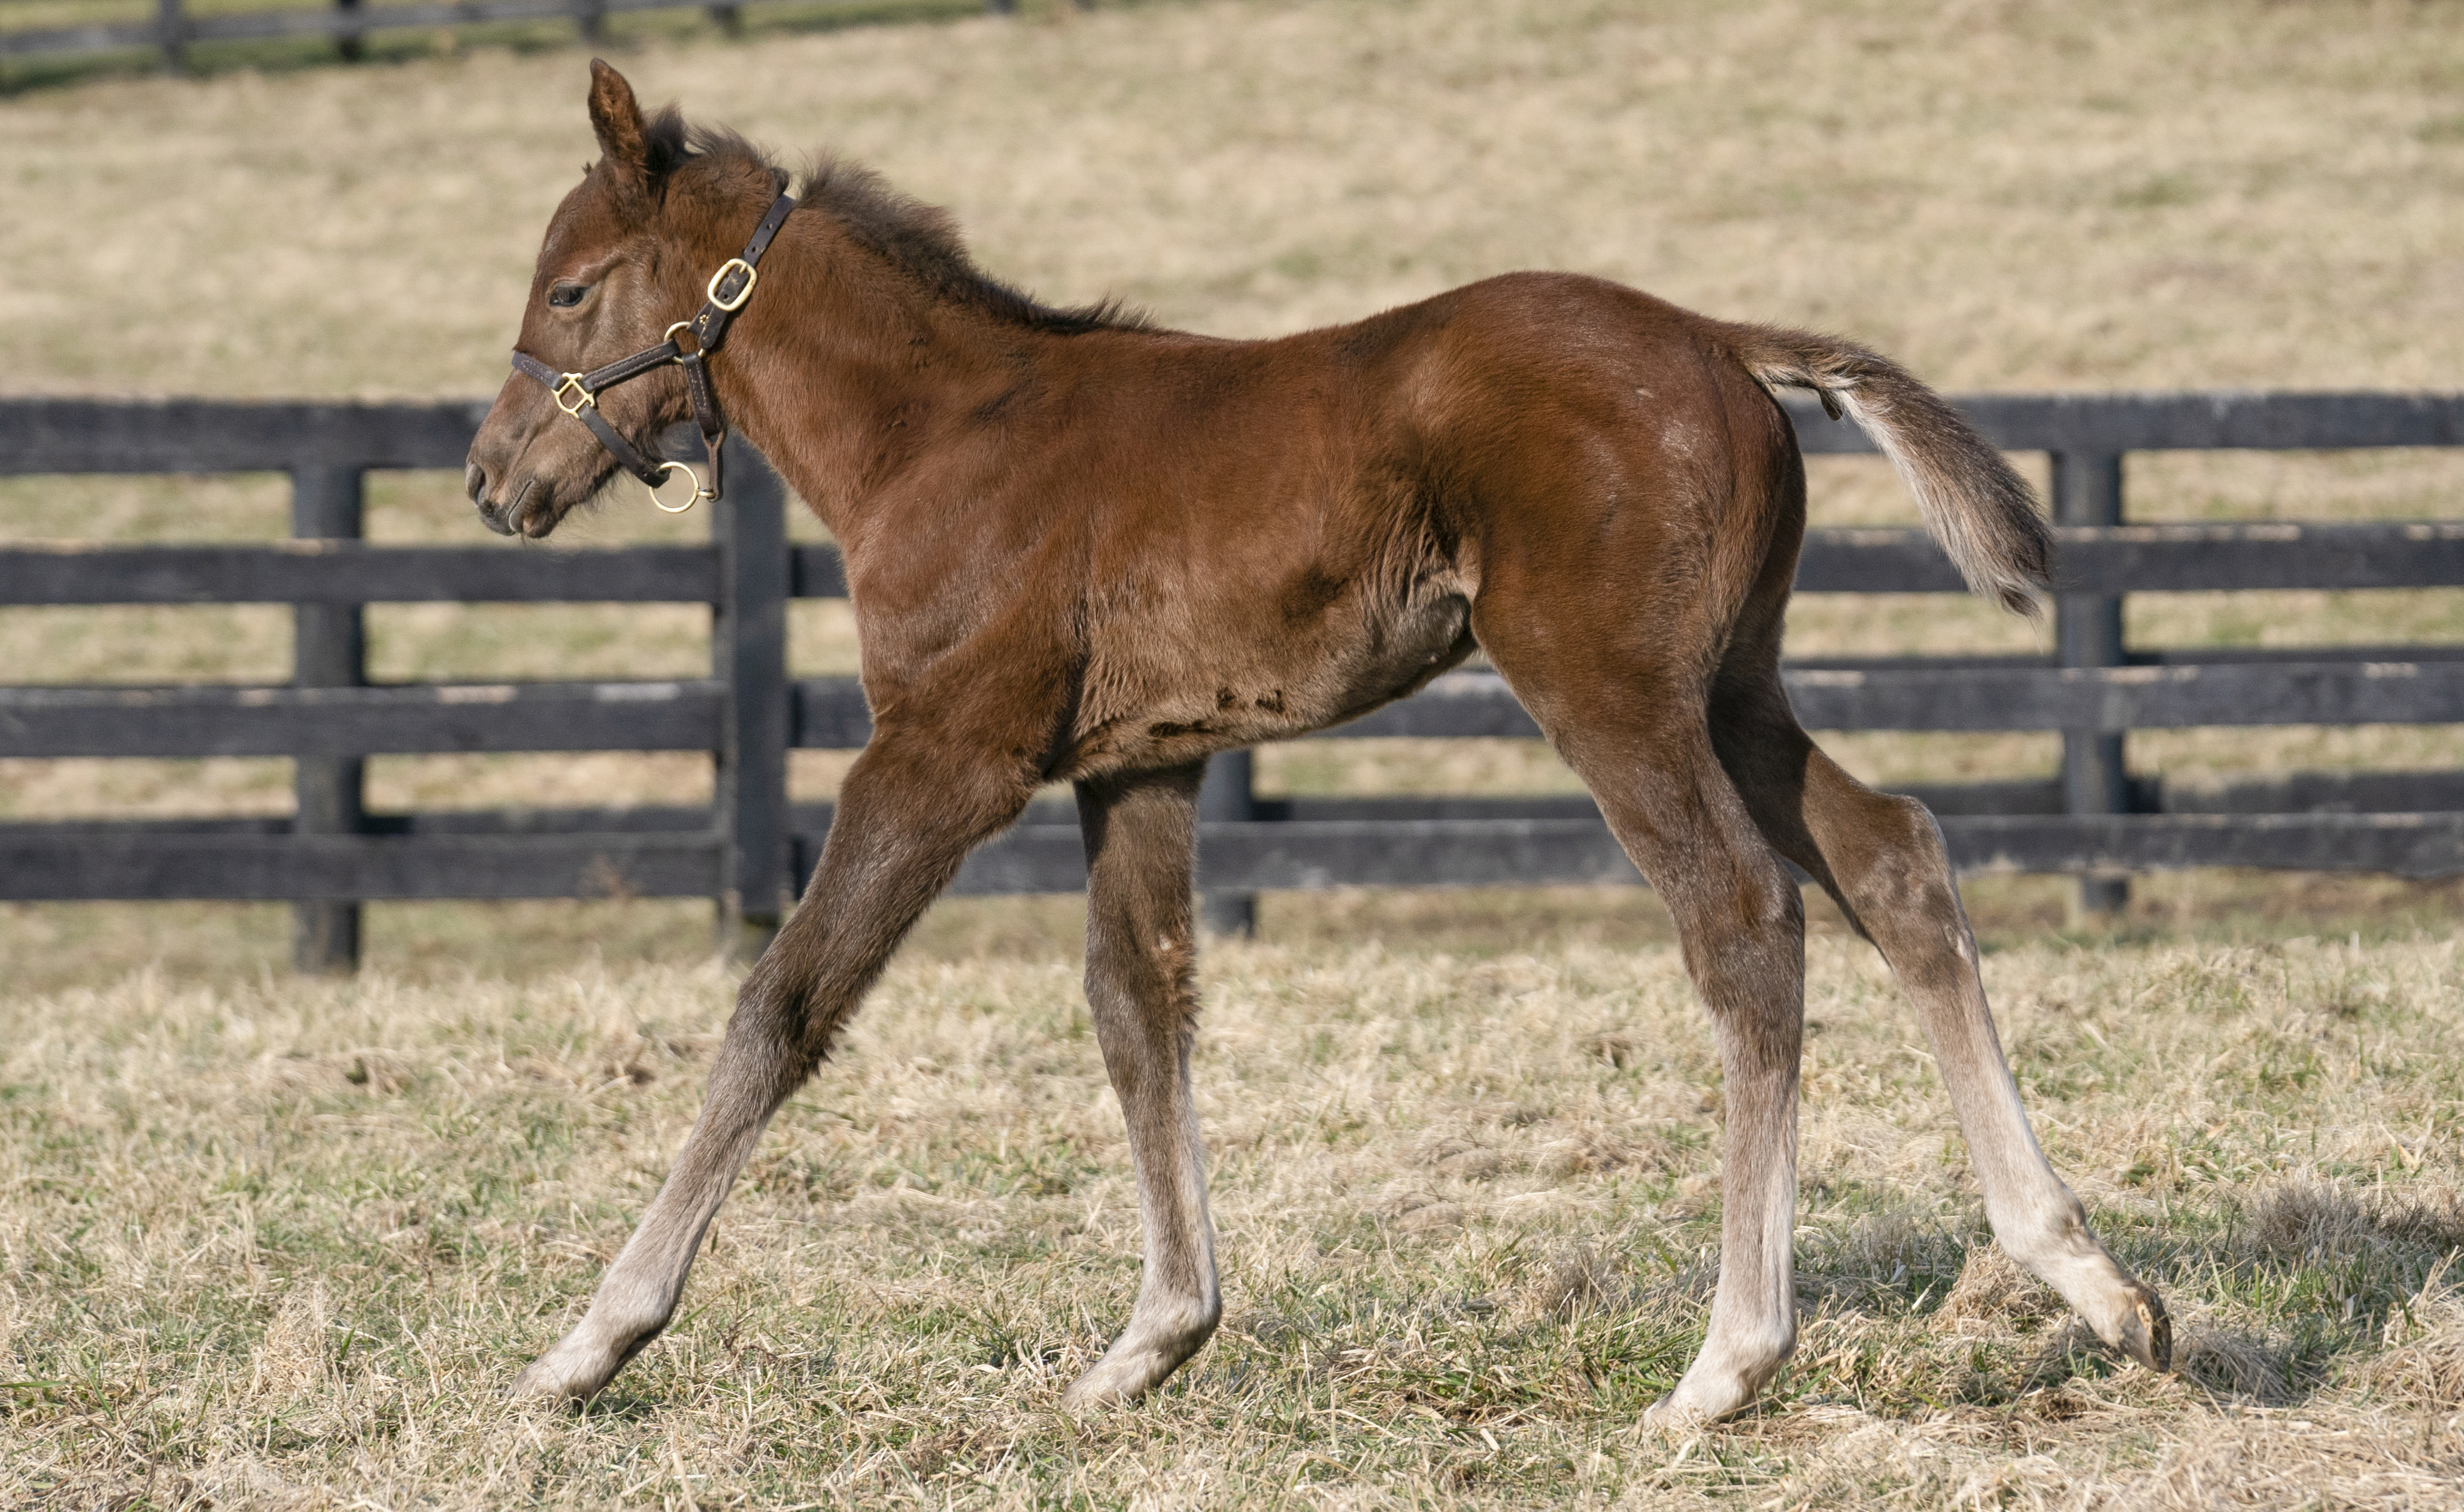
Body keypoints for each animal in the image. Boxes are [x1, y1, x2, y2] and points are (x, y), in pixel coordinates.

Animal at [463, 60, 2169, 1425]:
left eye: (571, 290)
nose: (492, 480)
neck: (941, 437)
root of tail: (1713, 336)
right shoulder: (1139, 759)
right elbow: (1139, 1006)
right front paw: (1150, 1344)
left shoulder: (946, 753)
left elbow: (786, 1001)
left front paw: (588, 1342)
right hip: (1732, 683)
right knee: (1893, 858)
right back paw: (2086, 1276)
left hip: (1610, 686)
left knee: (1744, 915)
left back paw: (1729, 1361)